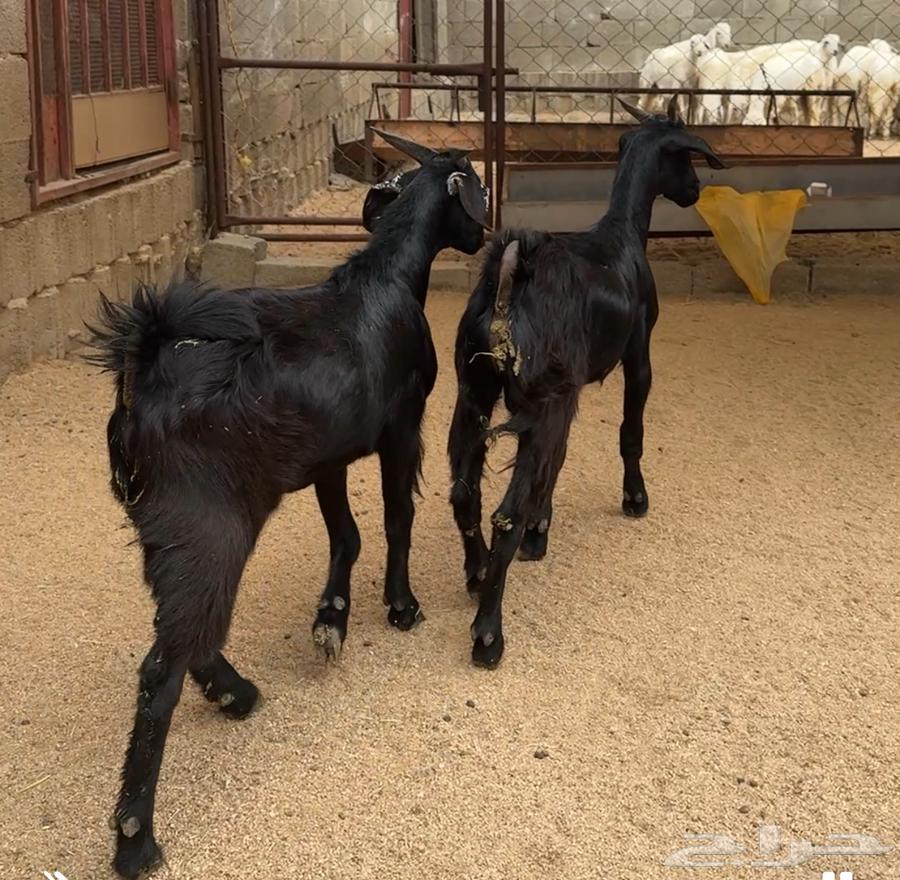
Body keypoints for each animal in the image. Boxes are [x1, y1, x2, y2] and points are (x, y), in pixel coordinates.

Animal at [86, 130, 487, 878]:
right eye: (472, 185)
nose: (485, 233)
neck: (385, 278)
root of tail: (145, 370)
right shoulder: (402, 429)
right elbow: (395, 519)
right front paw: (401, 606)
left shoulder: (327, 455)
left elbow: (345, 534)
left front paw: (332, 617)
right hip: (209, 526)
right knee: (163, 667)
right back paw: (135, 837)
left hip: (168, 532)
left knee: (189, 633)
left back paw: (236, 694)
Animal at [446, 97, 726, 667]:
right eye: (686, 156)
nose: (695, 191)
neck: (622, 236)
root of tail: (510, 275)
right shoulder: (637, 357)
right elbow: (630, 433)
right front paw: (635, 498)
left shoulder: (566, 394)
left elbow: (556, 466)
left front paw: (541, 530)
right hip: (540, 396)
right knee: (503, 512)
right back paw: (488, 633)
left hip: (475, 391)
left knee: (465, 492)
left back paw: (478, 572)